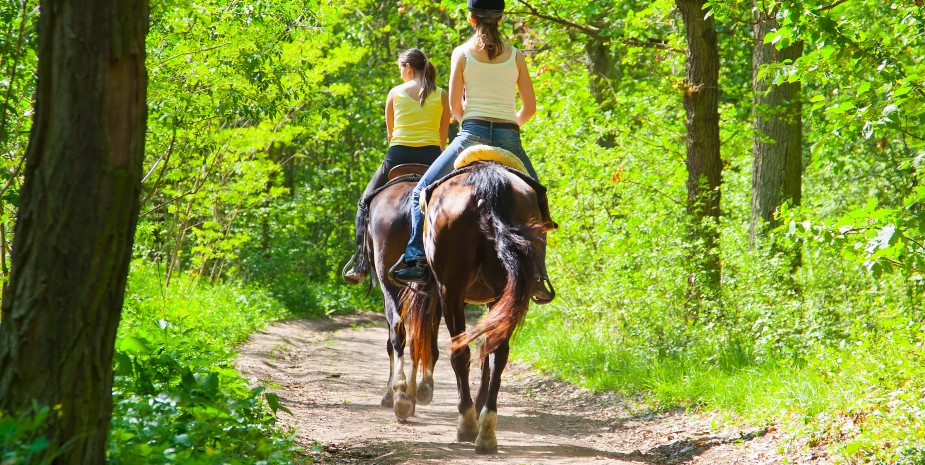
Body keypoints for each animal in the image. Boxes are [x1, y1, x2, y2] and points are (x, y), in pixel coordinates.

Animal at [354, 166, 440, 420]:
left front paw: (390, 393)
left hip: (388, 281)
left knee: (398, 329)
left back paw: (401, 394)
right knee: (423, 333)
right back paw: (418, 391)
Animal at [402, 160, 548, 454]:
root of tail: (486, 183)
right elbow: (488, 354)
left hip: (451, 291)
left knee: (460, 353)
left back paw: (468, 423)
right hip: (505, 289)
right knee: (499, 353)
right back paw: (487, 429)